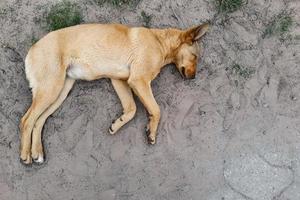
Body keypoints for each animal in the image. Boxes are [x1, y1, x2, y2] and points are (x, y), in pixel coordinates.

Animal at [19, 23, 209, 164]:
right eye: (195, 57)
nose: (193, 78)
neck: (159, 41)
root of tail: (33, 48)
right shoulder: (139, 81)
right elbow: (156, 109)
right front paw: (152, 132)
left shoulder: (120, 81)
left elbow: (132, 109)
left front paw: (117, 124)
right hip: (51, 88)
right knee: (27, 120)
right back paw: (25, 155)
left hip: (60, 91)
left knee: (39, 121)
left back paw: (37, 152)